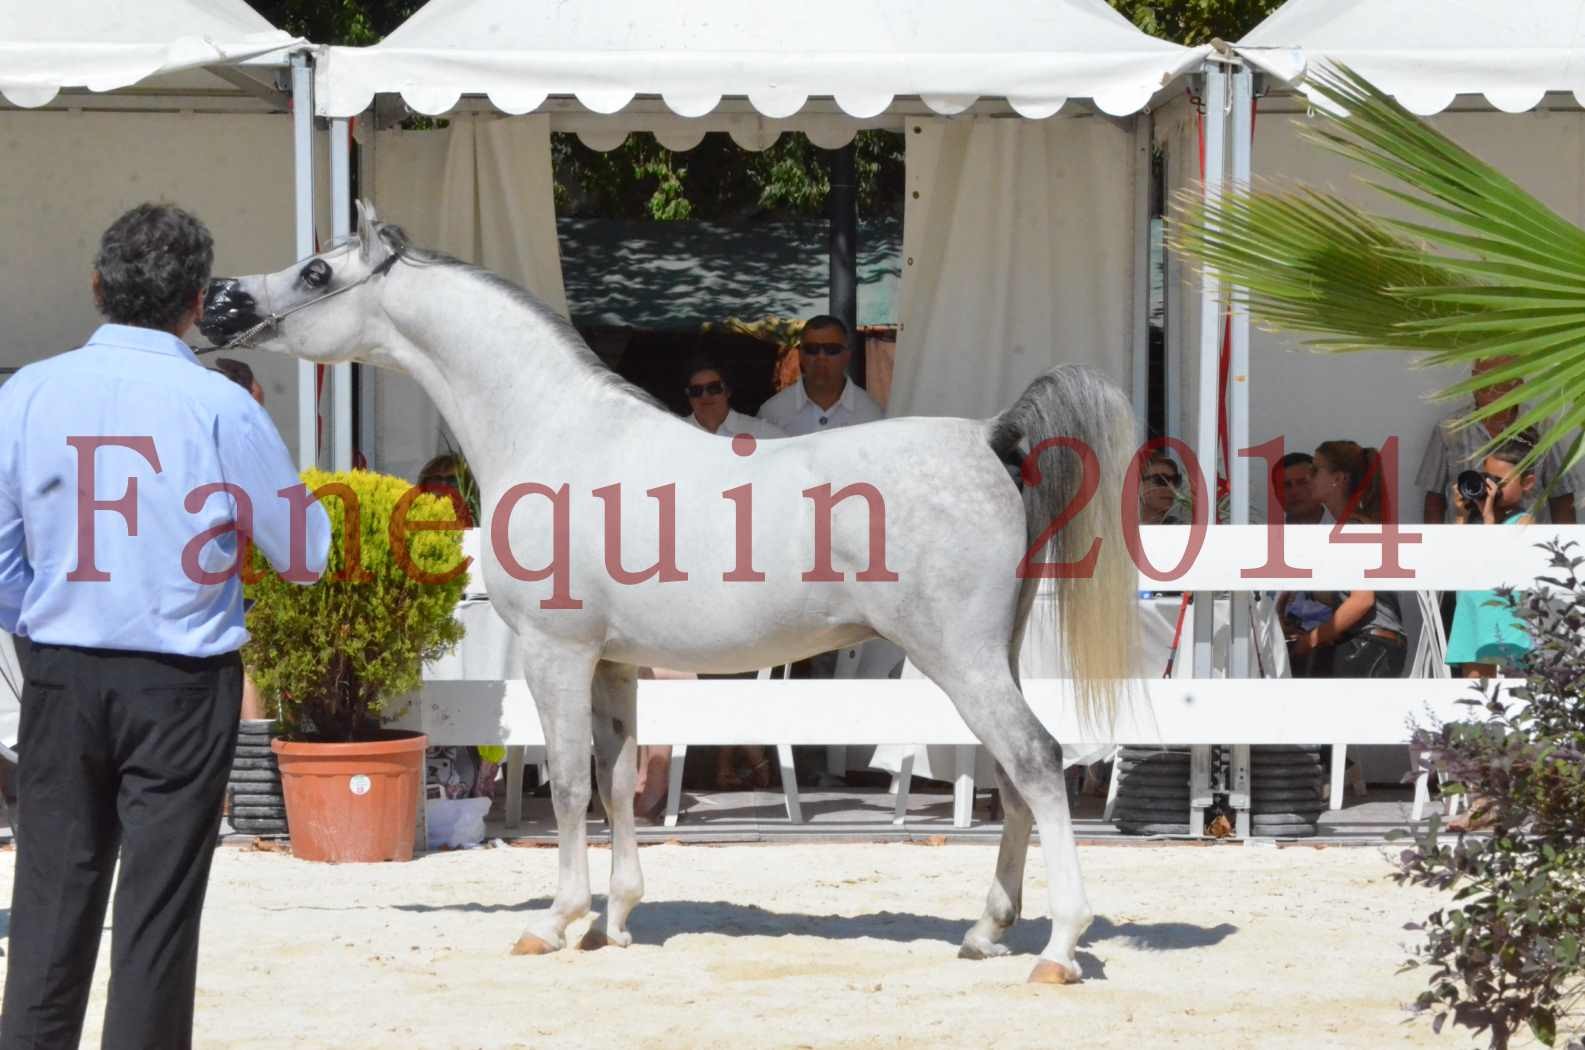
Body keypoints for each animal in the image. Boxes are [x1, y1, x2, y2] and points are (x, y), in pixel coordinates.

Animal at [201, 206, 1141, 989]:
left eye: (317, 271)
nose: (218, 301)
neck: (556, 429)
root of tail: (990, 437)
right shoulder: (614, 665)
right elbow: (617, 782)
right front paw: (612, 921)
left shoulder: (557, 653)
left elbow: (568, 786)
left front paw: (554, 922)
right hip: (990, 655)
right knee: (1013, 779)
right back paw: (985, 933)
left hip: (959, 656)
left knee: (1036, 761)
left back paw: (1057, 948)